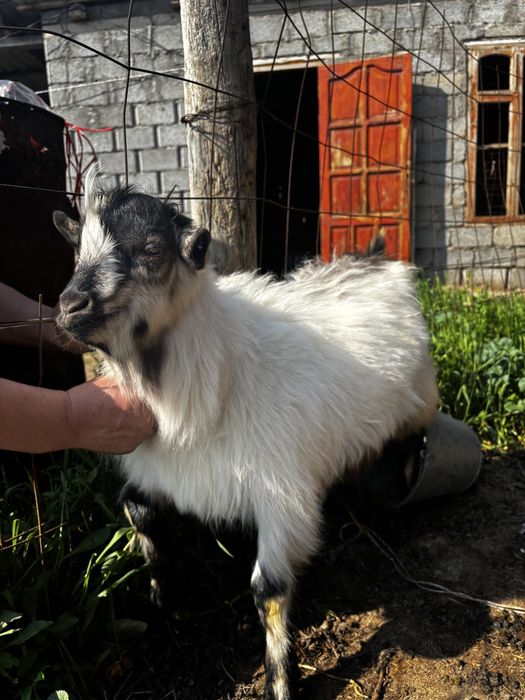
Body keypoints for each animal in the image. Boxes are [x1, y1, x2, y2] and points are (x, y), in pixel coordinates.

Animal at [54, 176, 438, 700]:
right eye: (76, 250)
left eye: (152, 250)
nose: (69, 307)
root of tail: (375, 260)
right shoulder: (159, 471)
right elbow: (140, 516)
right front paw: (165, 599)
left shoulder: (282, 498)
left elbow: (268, 590)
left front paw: (279, 681)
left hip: (421, 398)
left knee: (413, 439)